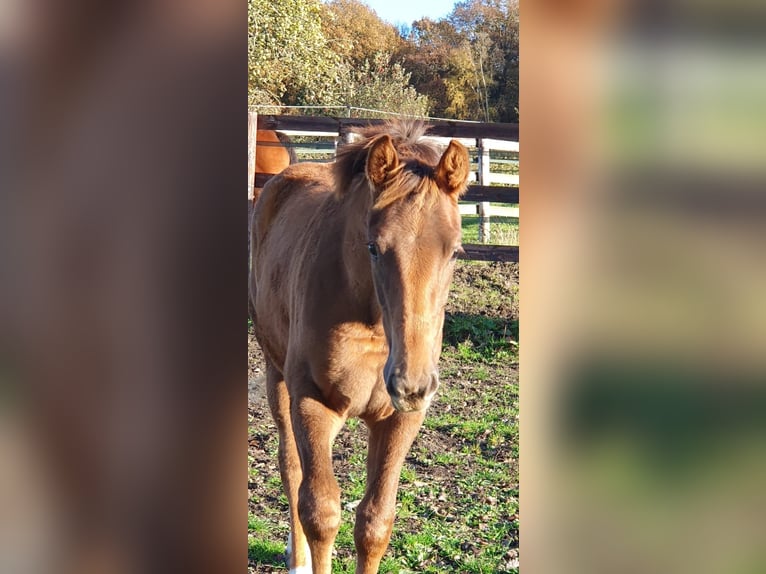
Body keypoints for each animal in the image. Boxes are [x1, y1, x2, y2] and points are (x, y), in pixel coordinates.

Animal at [249, 120, 470, 573]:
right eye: (373, 247)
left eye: (455, 251)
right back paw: (296, 558)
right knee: (290, 467)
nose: (411, 384)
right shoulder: (312, 402)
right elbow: (320, 511)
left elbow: (375, 522)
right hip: (277, 375)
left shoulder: (400, 418)